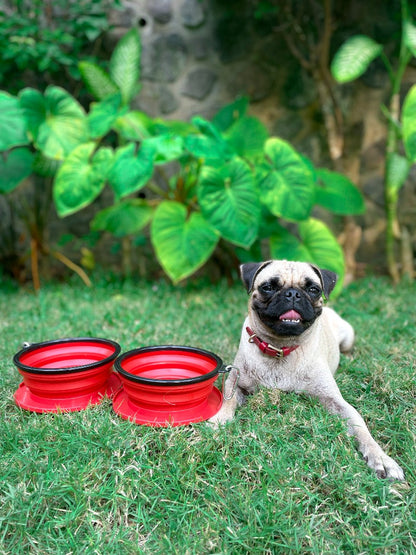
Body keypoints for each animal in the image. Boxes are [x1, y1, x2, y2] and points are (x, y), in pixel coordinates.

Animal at [210, 260, 404, 482]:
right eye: (268, 287)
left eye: (313, 289)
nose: (293, 294)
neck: (280, 348)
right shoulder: (236, 382)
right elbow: (228, 400)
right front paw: (219, 420)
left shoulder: (335, 401)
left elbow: (360, 427)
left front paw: (380, 457)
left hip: (348, 336)